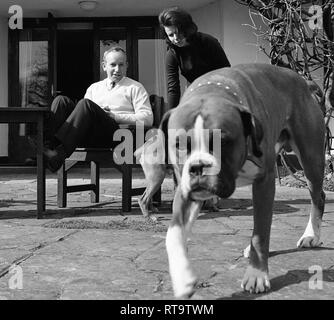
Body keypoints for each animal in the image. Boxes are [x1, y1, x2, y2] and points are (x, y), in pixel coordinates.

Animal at [162, 63, 326, 298]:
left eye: (223, 142)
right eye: (179, 144)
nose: (198, 166)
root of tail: (304, 82)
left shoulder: (264, 182)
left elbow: (260, 234)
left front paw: (256, 275)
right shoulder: (185, 194)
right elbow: (173, 234)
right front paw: (183, 278)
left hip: (310, 160)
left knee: (318, 196)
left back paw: (311, 235)